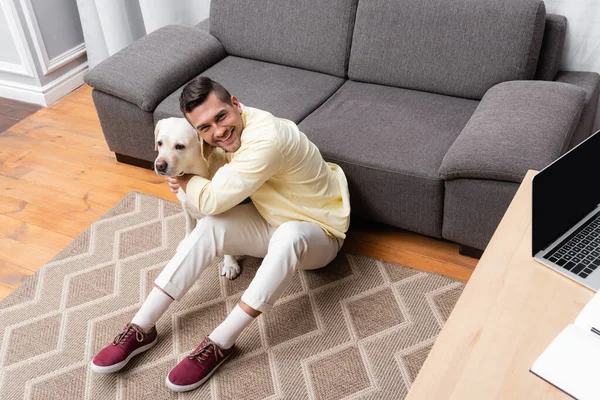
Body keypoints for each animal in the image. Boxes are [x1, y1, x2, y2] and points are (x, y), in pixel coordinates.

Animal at [152, 116, 241, 278]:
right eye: (160, 143)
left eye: (180, 146)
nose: (159, 165)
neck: (197, 175)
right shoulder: (186, 207)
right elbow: (189, 226)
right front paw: (187, 242)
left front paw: (230, 264)